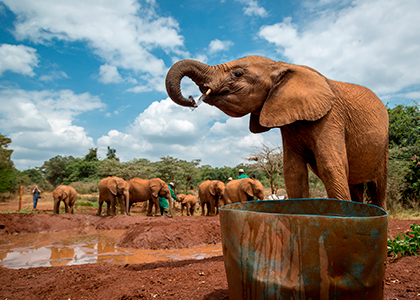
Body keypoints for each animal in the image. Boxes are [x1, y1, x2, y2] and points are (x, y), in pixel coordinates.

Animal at [166, 56, 388, 211]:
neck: (280, 65)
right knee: (356, 186)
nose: (192, 99)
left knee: (378, 187)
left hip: (383, 144)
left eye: (237, 74)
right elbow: (294, 172)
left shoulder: (332, 117)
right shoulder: (289, 124)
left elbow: (330, 167)